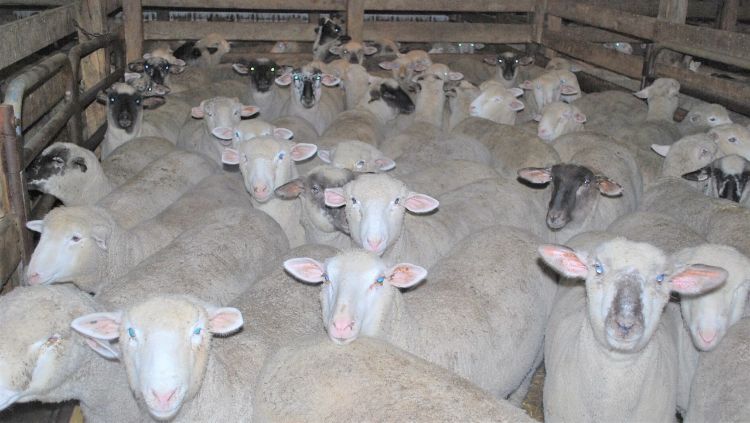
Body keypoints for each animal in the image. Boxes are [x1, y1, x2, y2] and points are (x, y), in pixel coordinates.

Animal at [283, 225, 558, 402]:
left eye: (380, 280)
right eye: (326, 278)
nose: (340, 325)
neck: (413, 333)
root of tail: (523, 233)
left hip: (533, 358)